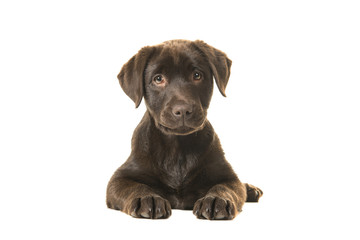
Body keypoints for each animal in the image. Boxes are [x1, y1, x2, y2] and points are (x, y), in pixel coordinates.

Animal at [105, 39, 262, 219]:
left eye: (197, 75)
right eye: (158, 79)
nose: (183, 110)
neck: (177, 147)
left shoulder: (228, 176)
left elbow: (225, 188)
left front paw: (216, 200)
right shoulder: (119, 178)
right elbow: (134, 186)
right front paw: (147, 198)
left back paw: (250, 189)